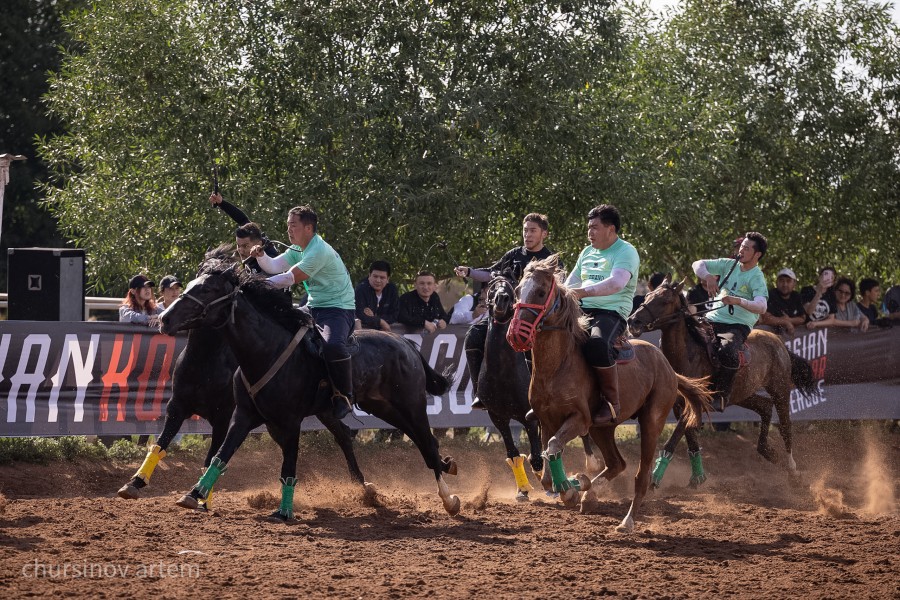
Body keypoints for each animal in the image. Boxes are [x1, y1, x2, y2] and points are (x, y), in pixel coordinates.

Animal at [115, 326, 362, 508]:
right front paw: (134, 483)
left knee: (342, 435)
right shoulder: (177, 407)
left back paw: (359, 483)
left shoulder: (223, 418)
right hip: (297, 417)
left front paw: (201, 498)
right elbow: (161, 442)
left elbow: (212, 456)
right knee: (338, 434)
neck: (205, 360)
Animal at [157, 248, 460, 520]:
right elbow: (221, 455)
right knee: (401, 439)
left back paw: (449, 498)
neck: (267, 350)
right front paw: (194, 494)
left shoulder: (290, 421)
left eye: (208, 289)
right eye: (191, 284)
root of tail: (406, 344)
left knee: (427, 442)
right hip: (381, 407)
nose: (164, 318)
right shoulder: (242, 416)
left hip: (410, 404)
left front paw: (284, 512)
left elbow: (288, 466)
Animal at [482, 274, 600, 500]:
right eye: (491, 287)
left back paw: (591, 464)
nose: (501, 300)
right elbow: (514, 453)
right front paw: (524, 489)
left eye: (510, 284)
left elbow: (537, 455)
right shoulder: (497, 417)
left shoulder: (531, 418)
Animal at [506, 255, 712, 532]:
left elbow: (553, 447)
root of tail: (668, 367)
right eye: (518, 290)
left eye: (540, 291)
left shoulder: (579, 419)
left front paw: (569, 488)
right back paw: (588, 492)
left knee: (641, 475)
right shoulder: (546, 421)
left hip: (650, 422)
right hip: (601, 428)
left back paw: (627, 520)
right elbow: (545, 466)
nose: (516, 333)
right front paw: (573, 485)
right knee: (616, 463)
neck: (559, 365)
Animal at [624, 278, 816, 488]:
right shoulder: (679, 405)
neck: (689, 355)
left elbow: (673, 440)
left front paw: (656, 477)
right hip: (741, 394)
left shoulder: (693, 405)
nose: (633, 321)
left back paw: (792, 471)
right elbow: (690, 438)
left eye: (664, 300)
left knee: (786, 427)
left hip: (780, 390)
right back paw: (767, 451)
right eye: (647, 296)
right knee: (765, 407)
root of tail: (778, 341)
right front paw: (698, 476)